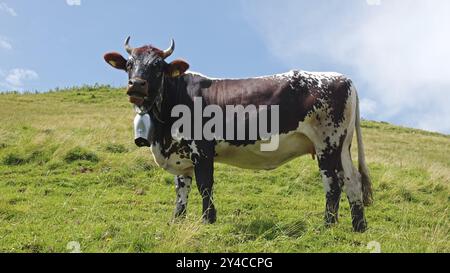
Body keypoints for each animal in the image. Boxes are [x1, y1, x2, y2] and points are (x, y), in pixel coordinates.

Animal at [104, 37, 372, 231]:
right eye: (129, 65)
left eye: (158, 66)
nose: (136, 85)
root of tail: (342, 78)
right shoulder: (181, 156)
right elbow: (181, 190)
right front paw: (176, 222)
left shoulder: (202, 149)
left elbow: (205, 185)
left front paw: (207, 220)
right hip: (342, 147)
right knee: (353, 181)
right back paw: (358, 227)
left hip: (327, 143)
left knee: (333, 183)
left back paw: (327, 226)